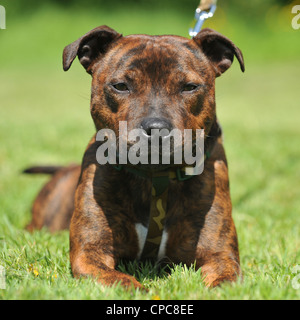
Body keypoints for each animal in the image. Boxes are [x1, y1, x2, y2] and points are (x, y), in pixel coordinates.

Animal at [27, 26, 245, 288]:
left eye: (190, 87)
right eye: (120, 86)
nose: (156, 127)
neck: (154, 176)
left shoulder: (219, 254)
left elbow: (224, 282)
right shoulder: (90, 252)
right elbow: (120, 280)